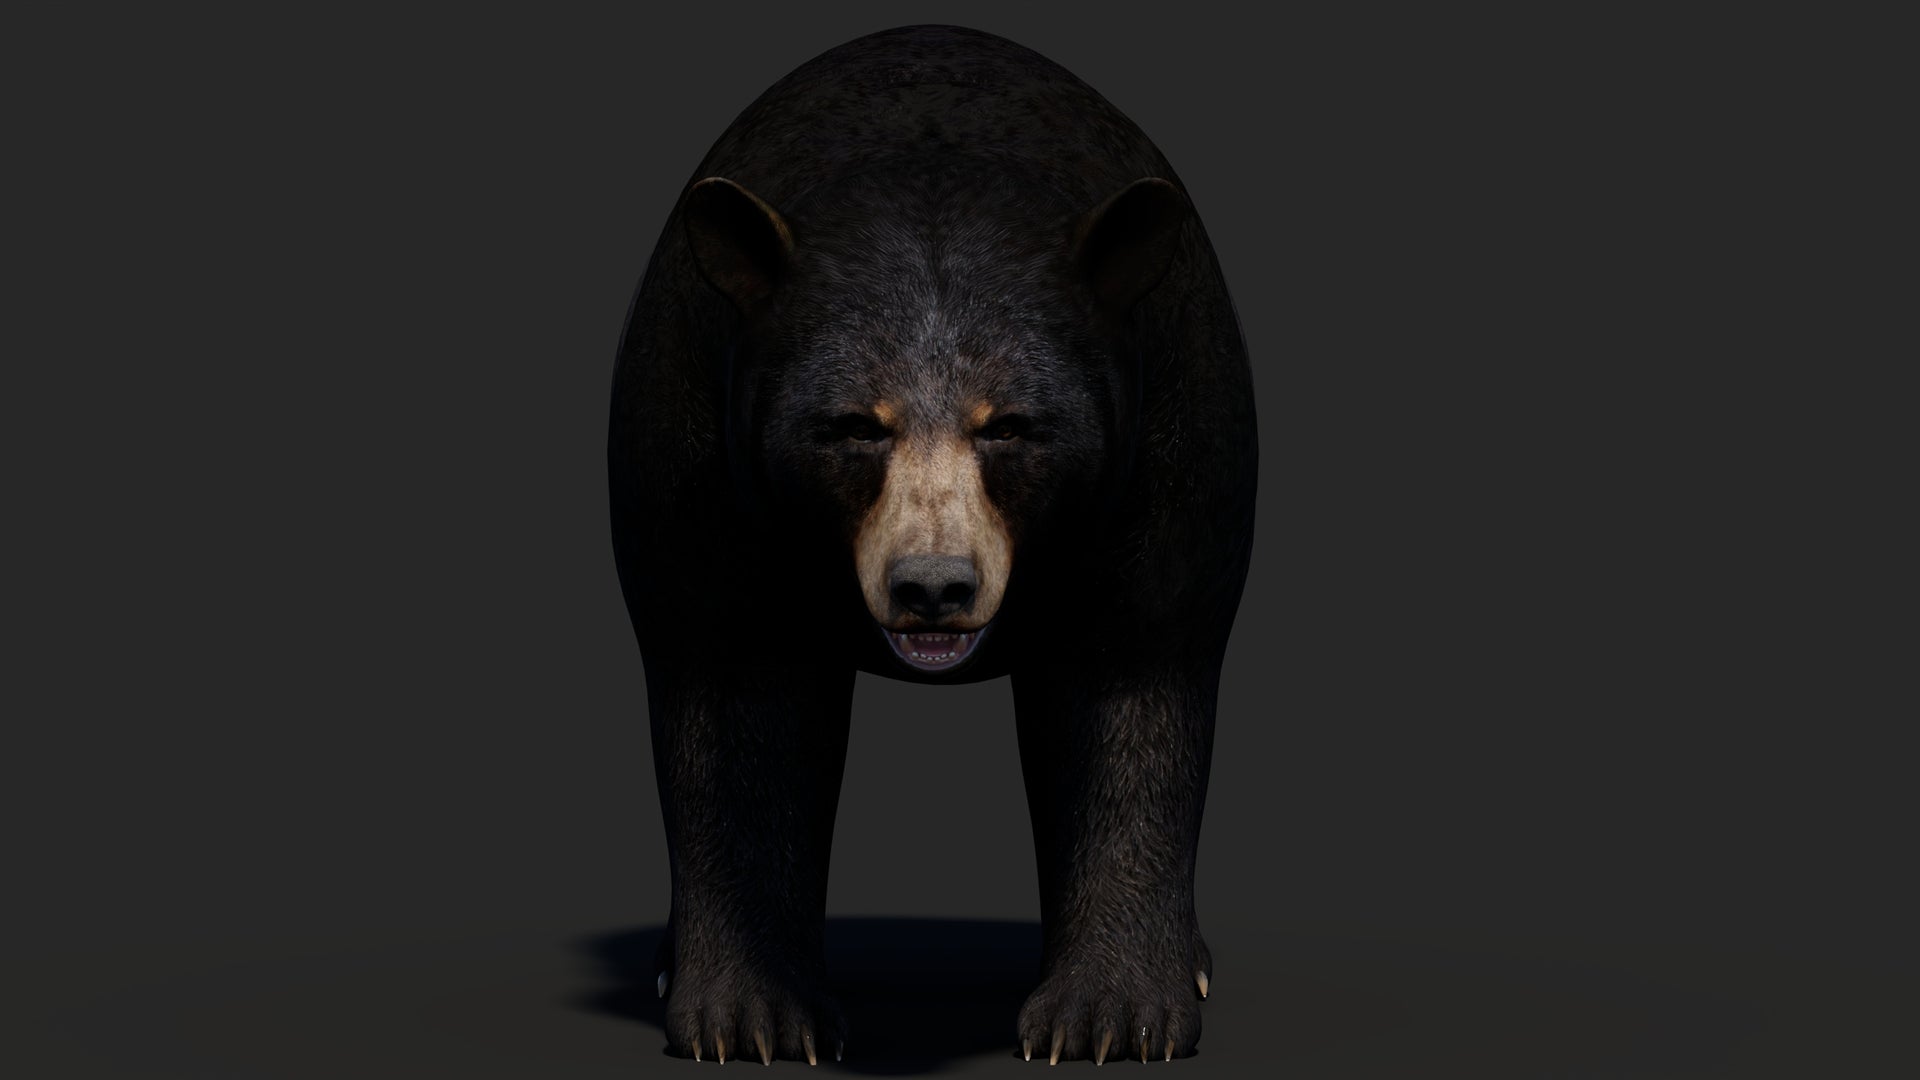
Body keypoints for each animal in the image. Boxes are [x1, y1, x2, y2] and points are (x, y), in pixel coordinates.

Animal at [607, 24, 1256, 1065]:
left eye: (1014, 426)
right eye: (851, 426)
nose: (934, 587)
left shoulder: (1174, 430)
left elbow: (1135, 678)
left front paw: (1111, 1017)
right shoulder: (693, 445)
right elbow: (735, 693)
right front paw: (752, 1019)